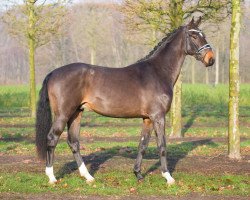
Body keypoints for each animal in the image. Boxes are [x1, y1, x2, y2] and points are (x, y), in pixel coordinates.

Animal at [35, 18, 215, 185]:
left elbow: (142, 145)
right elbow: (162, 146)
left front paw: (138, 174)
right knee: (52, 138)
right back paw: (52, 177)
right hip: (63, 114)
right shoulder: (158, 117)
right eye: (193, 35)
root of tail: (53, 73)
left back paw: (88, 177)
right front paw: (168, 177)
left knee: (73, 142)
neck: (158, 72)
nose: (211, 59)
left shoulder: (147, 119)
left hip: (76, 113)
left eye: (203, 34)